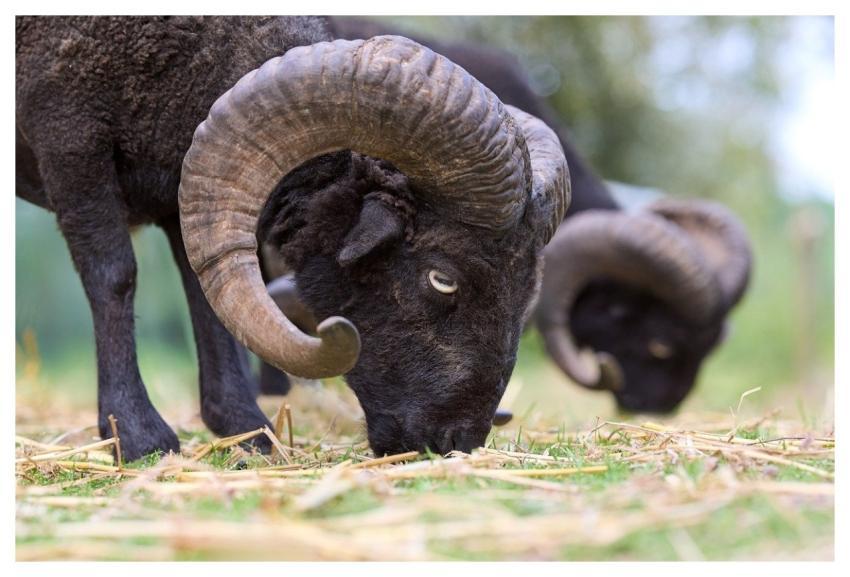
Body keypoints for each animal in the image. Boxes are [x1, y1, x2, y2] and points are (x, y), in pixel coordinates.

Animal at [16, 16, 568, 459]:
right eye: (441, 278)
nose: (457, 441)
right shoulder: (70, 139)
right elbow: (115, 277)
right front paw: (137, 437)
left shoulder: (183, 177)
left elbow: (204, 293)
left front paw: (247, 430)